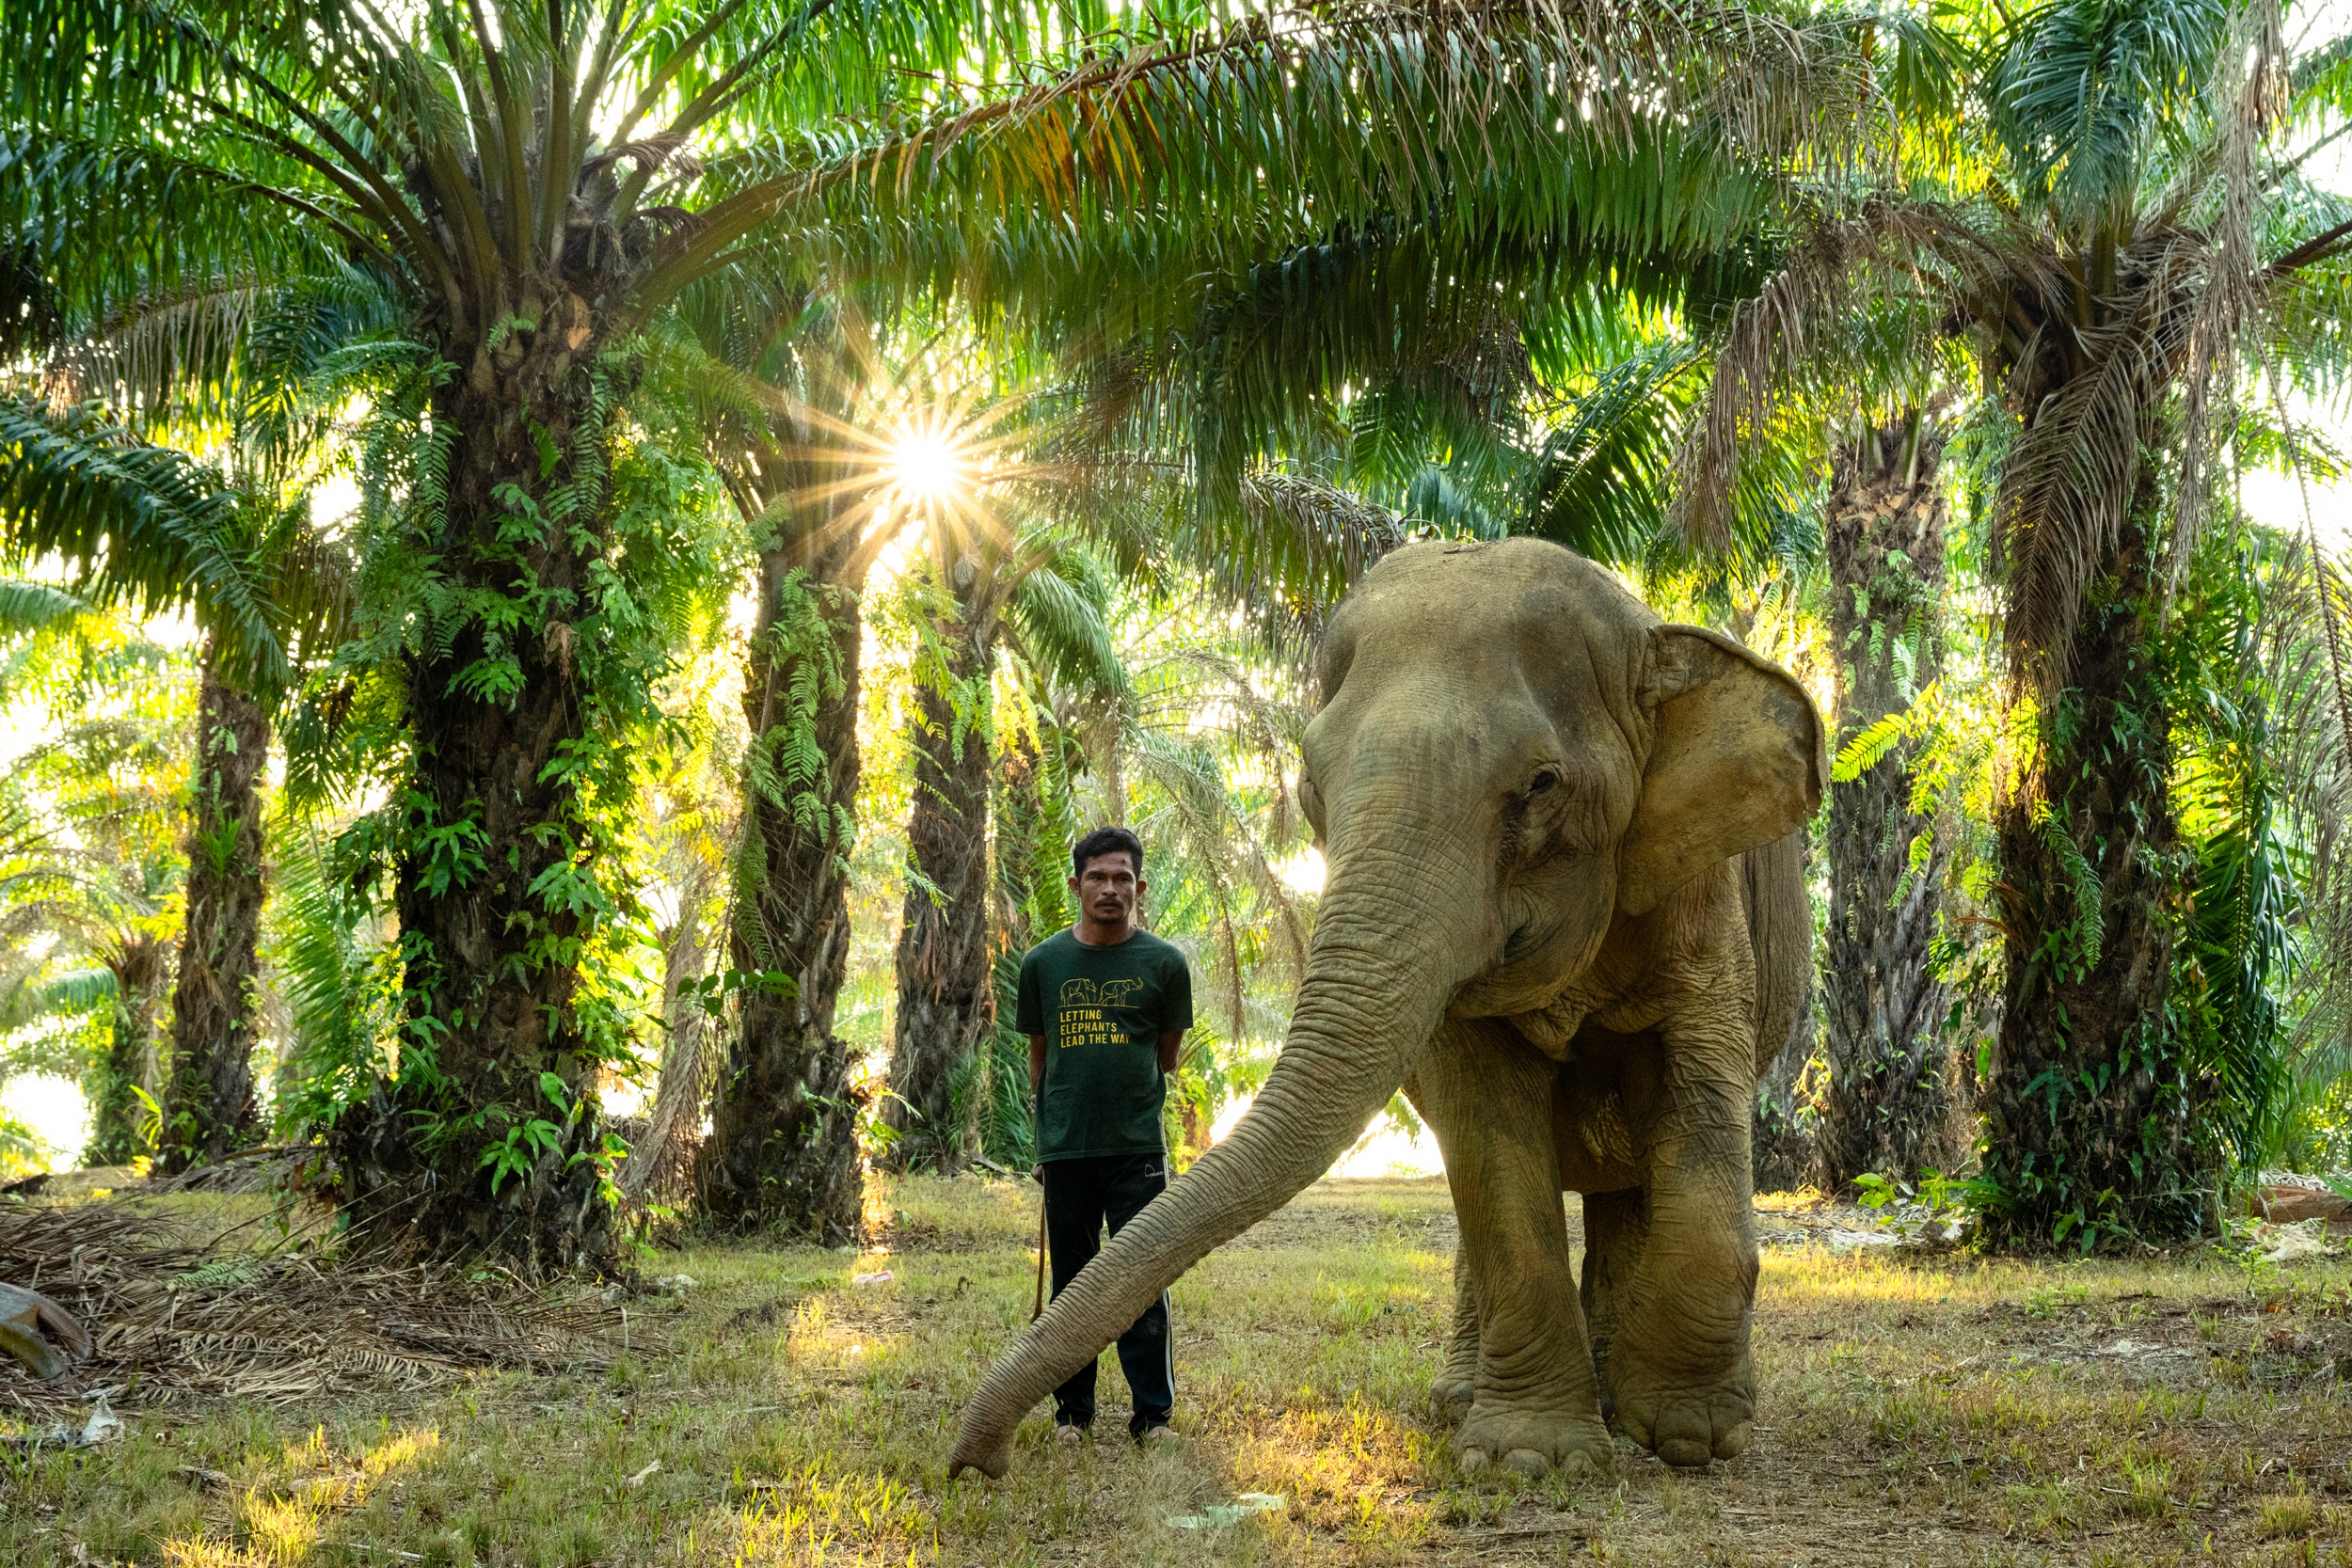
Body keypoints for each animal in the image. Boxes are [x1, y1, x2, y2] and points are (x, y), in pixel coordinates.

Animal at [949, 537, 1825, 1479]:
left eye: (1543, 784)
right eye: (1311, 785)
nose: (975, 1462)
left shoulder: (1703, 897)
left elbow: (1700, 1100)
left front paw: (1692, 1437)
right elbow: (1491, 1142)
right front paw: (1528, 1458)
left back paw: (1623, 1405)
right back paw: (1467, 1401)